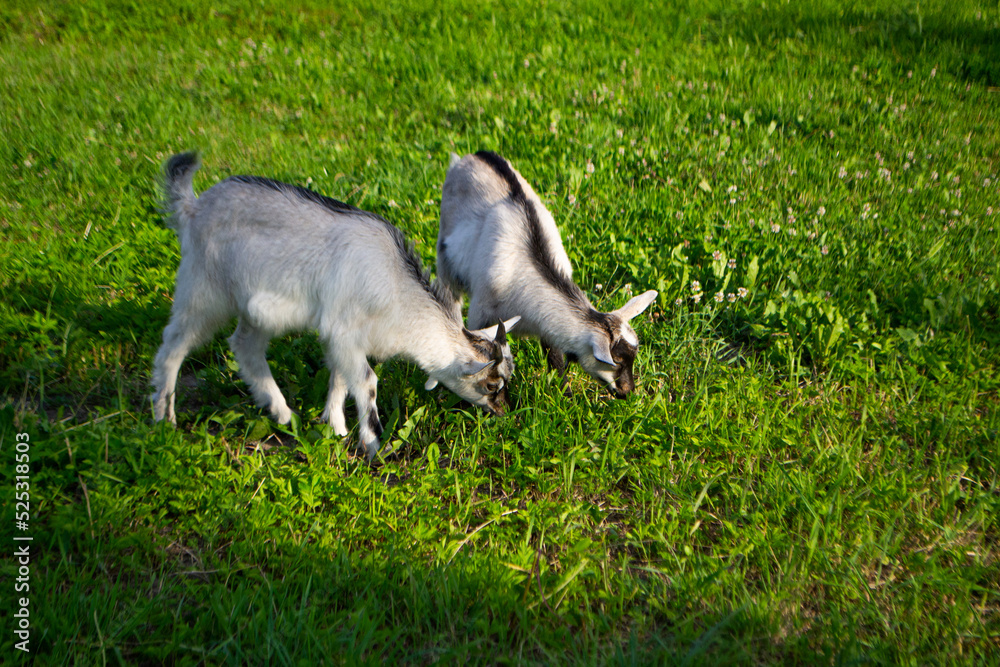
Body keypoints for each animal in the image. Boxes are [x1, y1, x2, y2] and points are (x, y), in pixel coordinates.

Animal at [151, 152, 519, 459]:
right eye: (490, 385)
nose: (504, 412)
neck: (397, 290)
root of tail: (193, 208)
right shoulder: (344, 330)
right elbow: (367, 383)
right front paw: (372, 444)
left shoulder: (344, 337)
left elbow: (340, 379)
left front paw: (335, 426)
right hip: (203, 289)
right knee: (173, 344)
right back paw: (164, 418)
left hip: (255, 310)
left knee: (245, 345)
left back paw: (283, 413)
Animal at [437, 151, 656, 396]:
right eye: (616, 361)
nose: (628, 392)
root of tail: (473, 156)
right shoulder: (480, 312)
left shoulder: (546, 325)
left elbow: (555, 356)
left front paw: (564, 393)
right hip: (444, 253)